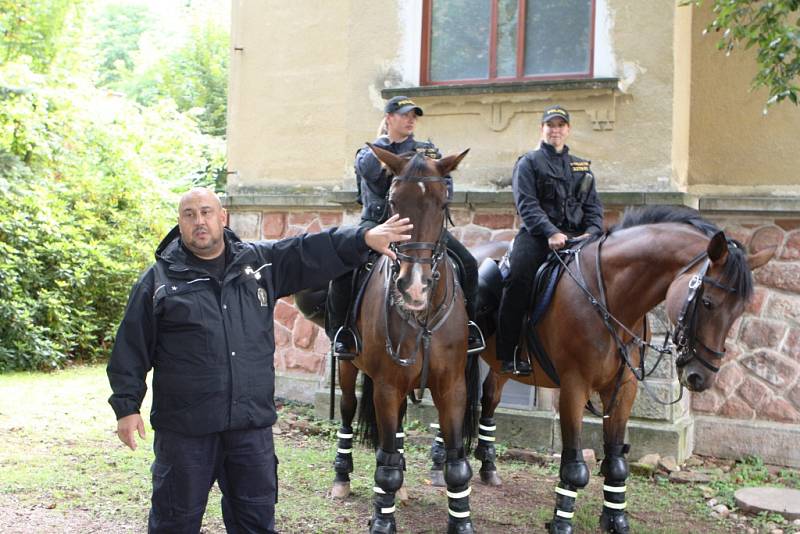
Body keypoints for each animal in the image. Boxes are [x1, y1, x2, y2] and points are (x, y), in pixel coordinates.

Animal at [328, 146, 478, 534]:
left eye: (443, 202)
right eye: (393, 201)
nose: (413, 287)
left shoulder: (452, 386)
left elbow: (456, 465)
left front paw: (461, 522)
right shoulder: (386, 386)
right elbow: (387, 465)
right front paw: (382, 520)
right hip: (349, 367)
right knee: (349, 411)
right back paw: (342, 478)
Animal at [434, 206, 772, 534]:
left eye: (740, 311)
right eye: (708, 302)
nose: (701, 376)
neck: (610, 298)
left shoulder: (623, 389)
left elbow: (616, 462)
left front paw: (615, 520)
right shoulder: (574, 387)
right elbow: (575, 467)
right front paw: (561, 523)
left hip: (502, 364)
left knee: (488, 398)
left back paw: (488, 467)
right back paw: (440, 464)